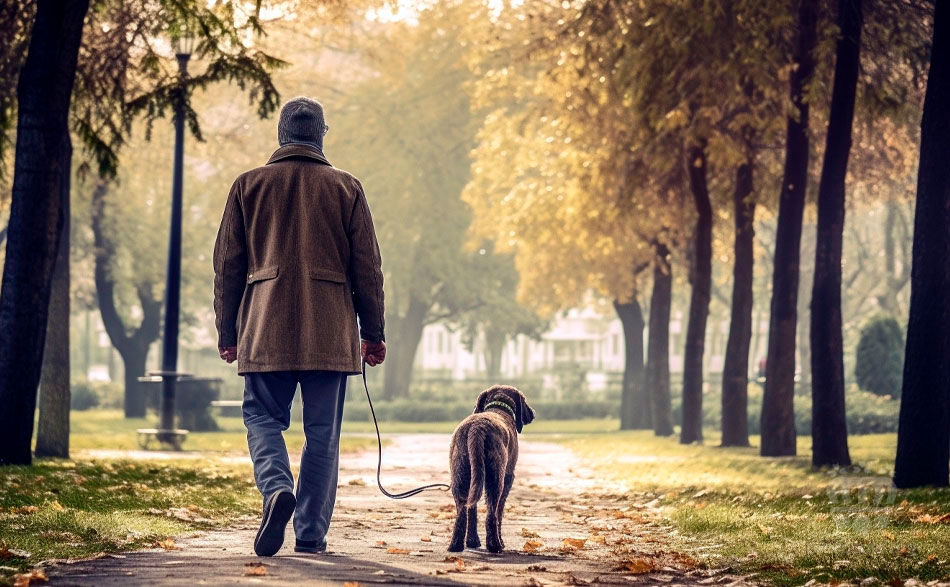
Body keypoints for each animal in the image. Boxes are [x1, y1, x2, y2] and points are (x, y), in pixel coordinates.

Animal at [448, 384, 536, 552]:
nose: (533, 414)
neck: (499, 406)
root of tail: (477, 428)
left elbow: (472, 510)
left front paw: (472, 541)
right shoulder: (508, 477)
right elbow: (499, 512)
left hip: (461, 475)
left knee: (462, 511)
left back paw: (456, 545)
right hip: (496, 478)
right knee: (492, 513)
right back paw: (495, 545)